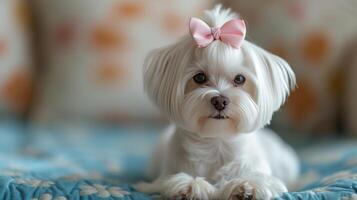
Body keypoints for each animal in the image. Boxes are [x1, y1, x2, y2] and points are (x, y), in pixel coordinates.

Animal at [135, 4, 298, 200]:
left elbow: (256, 180)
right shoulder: (167, 174)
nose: (220, 101)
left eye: (239, 79)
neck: (216, 144)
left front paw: (246, 187)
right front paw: (190, 187)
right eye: (199, 77)